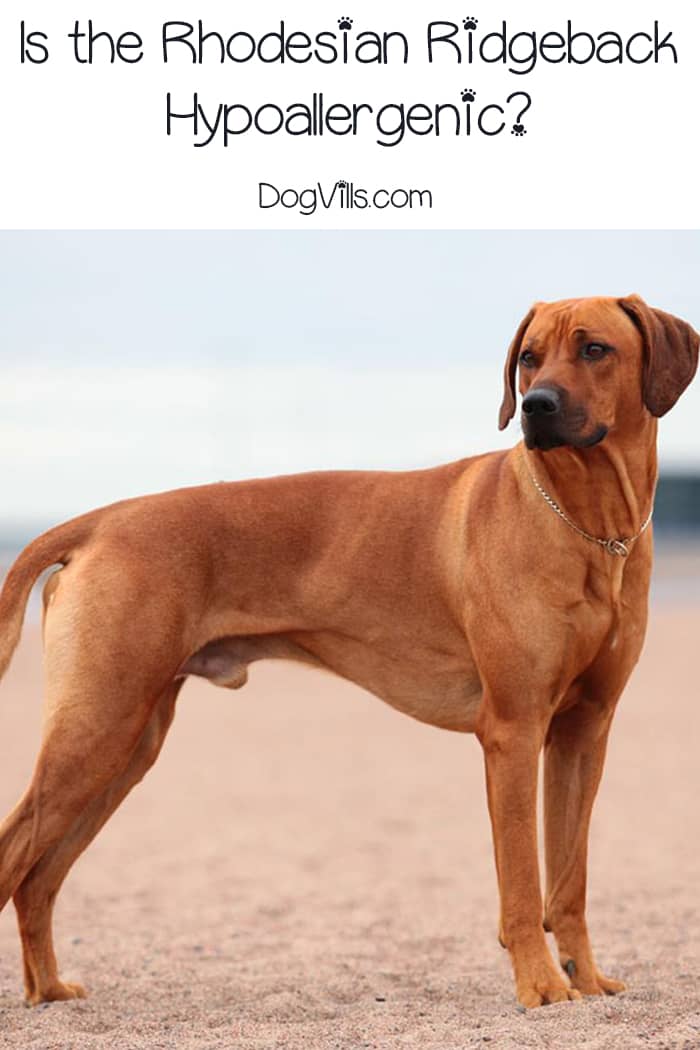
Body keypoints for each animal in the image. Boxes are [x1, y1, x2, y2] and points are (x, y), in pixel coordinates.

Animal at [0, 296, 696, 1007]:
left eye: (594, 349)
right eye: (529, 358)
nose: (536, 406)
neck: (590, 527)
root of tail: (101, 522)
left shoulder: (584, 731)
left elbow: (570, 881)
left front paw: (586, 977)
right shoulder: (513, 731)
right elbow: (525, 883)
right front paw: (542, 986)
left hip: (129, 743)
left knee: (38, 879)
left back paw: (48, 988)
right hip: (98, 727)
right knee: (16, 855)